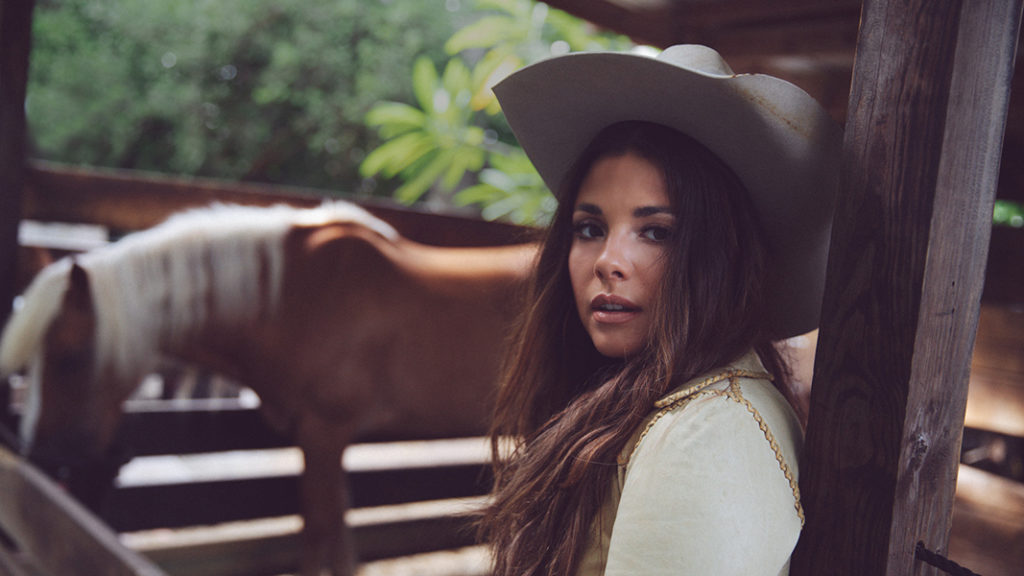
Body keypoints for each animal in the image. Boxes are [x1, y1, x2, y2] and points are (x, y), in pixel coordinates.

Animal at [0, 199, 540, 569]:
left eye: (68, 358)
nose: (38, 452)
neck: (294, 298)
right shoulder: (310, 438)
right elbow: (316, 534)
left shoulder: (326, 433)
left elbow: (329, 537)